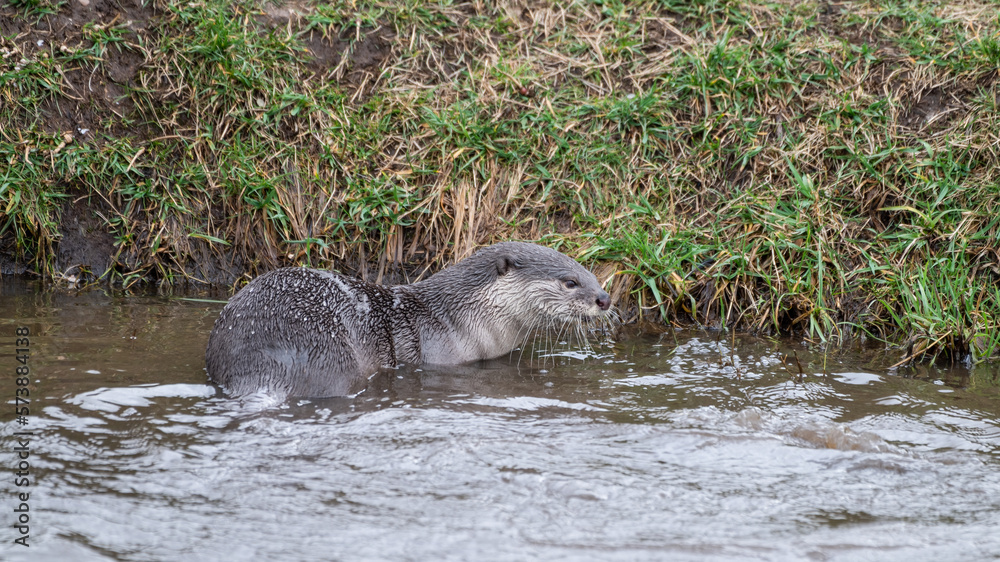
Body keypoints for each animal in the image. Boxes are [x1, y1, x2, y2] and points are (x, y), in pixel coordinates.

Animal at [205, 242, 611, 398]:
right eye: (570, 282)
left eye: (592, 274)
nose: (604, 299)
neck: (458, 320)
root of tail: (262, 368)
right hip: (328, 356)